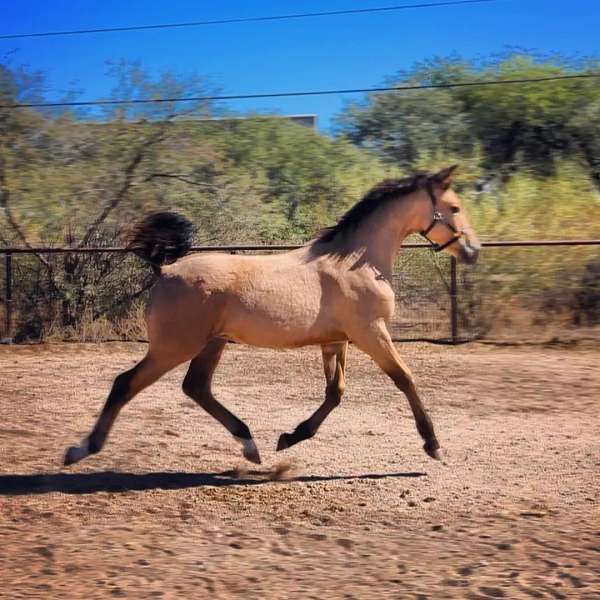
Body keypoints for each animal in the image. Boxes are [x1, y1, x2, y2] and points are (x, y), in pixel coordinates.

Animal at [63, 166, 480, 466]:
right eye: (455, 208)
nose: (474, 251)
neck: (356, 263)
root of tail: (164, 270)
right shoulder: (371, 333)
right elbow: (405, 378)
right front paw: (434, 445)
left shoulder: (336, 340)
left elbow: (335, 392)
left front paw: (290, 438)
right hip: (174, 346)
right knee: (126, 383)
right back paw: (81, 449)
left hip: (211, 344)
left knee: (196, 387)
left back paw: (250, 445)